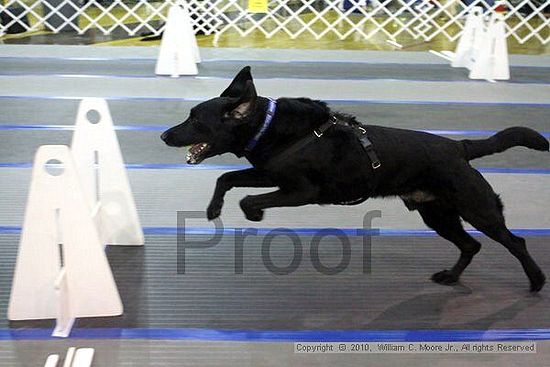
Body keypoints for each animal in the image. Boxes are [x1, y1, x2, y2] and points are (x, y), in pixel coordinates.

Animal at [162, 65, 548, 290]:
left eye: (196, 119)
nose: (164, 135)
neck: (269, 128)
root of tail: (460, 147)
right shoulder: (268, 173)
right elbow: (228, 177)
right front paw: (213, 209)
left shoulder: (301, 190)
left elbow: (248, 197)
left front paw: (254, 213)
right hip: (437, 214)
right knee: (471, 245)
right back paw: (451, 277)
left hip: (476, 209)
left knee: (515, 242)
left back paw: (536, 280)